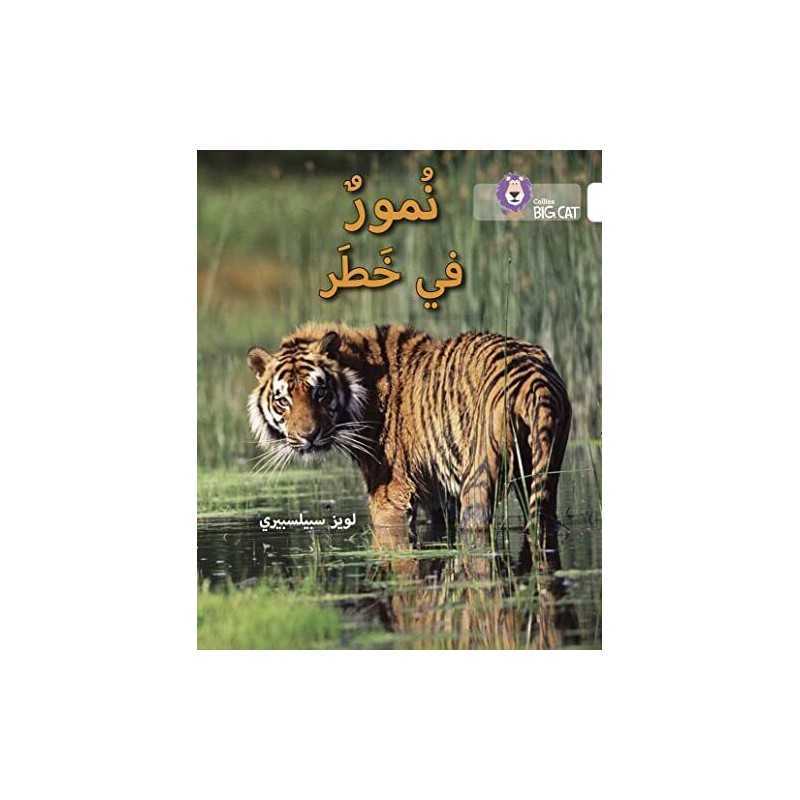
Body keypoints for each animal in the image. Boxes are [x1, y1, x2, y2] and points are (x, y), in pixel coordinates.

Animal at [247, 322, 571, 537]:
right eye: (283, 400)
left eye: (320, 393)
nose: (309, 436)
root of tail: (533, 378)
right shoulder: (437, 496)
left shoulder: (390, 493)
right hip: (543, 468)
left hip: (479, 475)